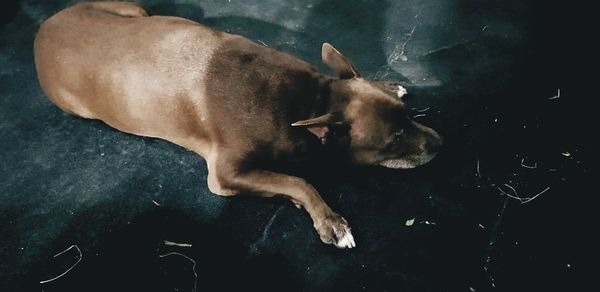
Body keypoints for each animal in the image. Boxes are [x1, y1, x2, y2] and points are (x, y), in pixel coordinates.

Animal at [35, 1, 442, 249]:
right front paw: (330, 221)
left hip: (136, 11)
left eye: (406, 118)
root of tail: (43, 28)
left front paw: (389, 85)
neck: (307, 99)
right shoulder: (225, 174)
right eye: (394, 140)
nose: (440, 143)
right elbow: (298, 181)